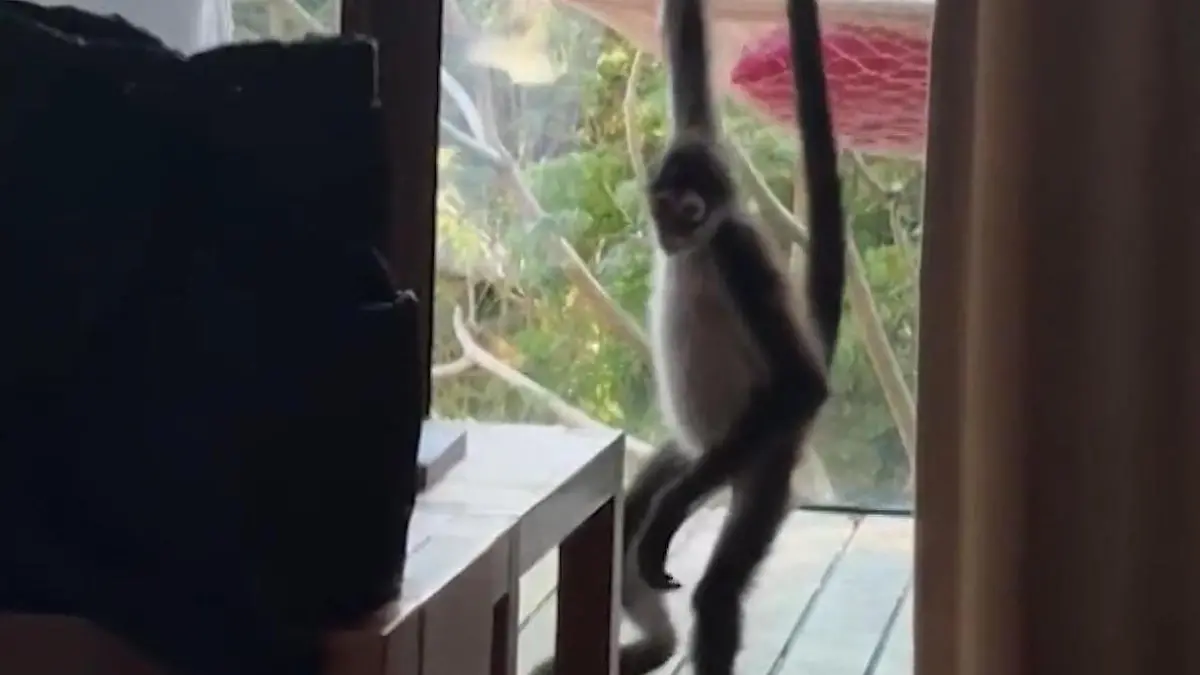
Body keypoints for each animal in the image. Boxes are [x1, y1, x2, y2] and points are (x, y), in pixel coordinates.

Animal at [626, 0, 847, 670]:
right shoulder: (695, 130)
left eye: (692, 208)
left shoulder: (738, 251)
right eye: (664, 201)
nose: (672, 228)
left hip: (762, 457)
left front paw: (669, 515)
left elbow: (802, 383)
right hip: (696, 449)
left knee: (718, 593)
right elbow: (686, 35)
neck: (700, 246)